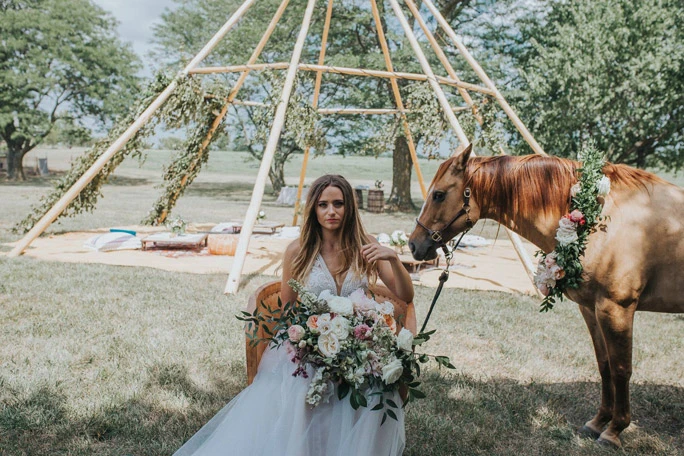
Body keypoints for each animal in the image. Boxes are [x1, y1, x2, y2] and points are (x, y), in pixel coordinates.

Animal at [408, 144, 680, 448]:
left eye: (439, 195)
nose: (413, 244)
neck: (602, 219)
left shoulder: (617, 309)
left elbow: (621, 369)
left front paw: (614, 430)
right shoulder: (592, 309)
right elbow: (605, 365)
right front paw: (598, 422)